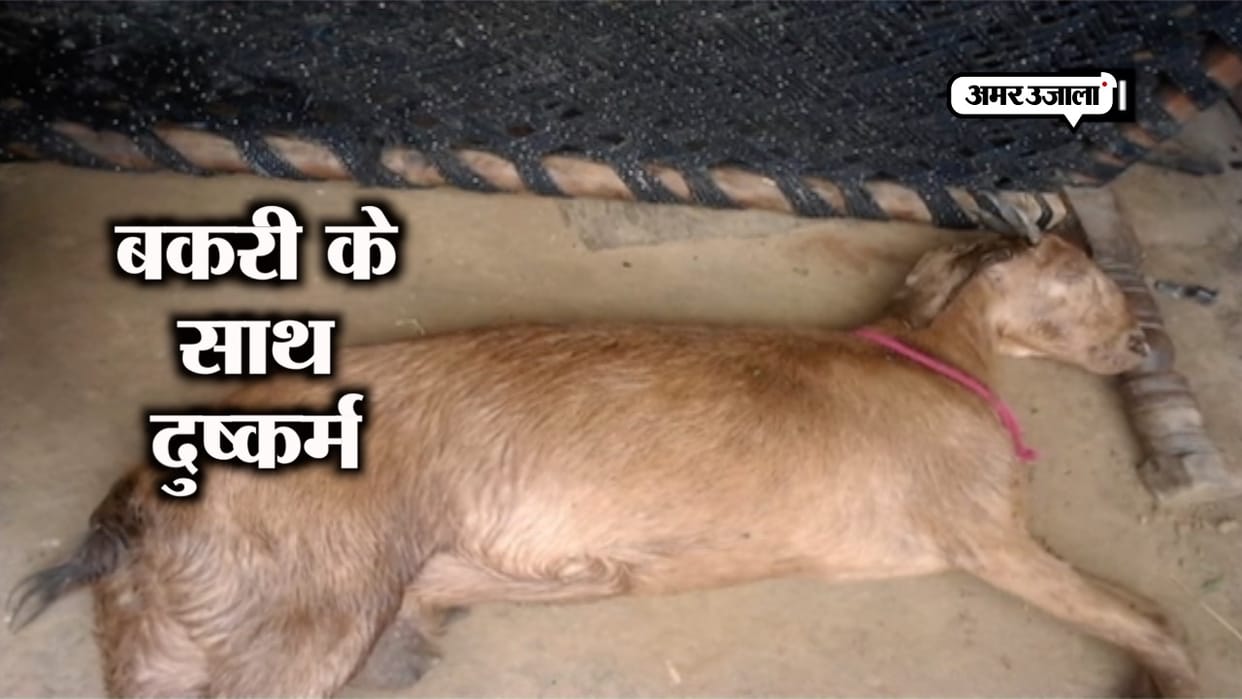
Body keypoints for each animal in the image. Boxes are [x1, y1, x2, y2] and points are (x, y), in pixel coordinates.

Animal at [8, 231, 1194, 697]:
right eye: (1085, 270)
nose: (1148, 341)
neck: (938, 359)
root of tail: (135, 497)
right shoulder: (989, 535)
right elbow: (1153, 618)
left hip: (187, 634)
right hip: (312, 609)